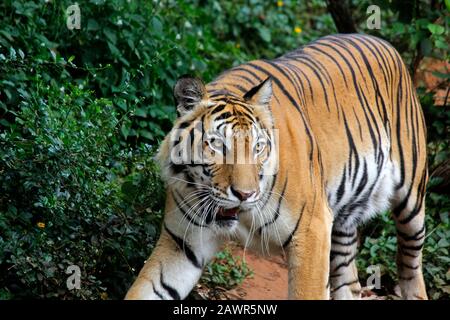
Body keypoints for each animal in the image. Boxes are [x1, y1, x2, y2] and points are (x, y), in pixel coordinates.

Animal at [125, 34, 428, 300]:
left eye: (258, 147)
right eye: (218, 145)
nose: (244, 195)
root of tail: (382, 41)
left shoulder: (313, 230)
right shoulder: (181, 245)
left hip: (411, 202)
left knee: (411, 262)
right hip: (342, 223)